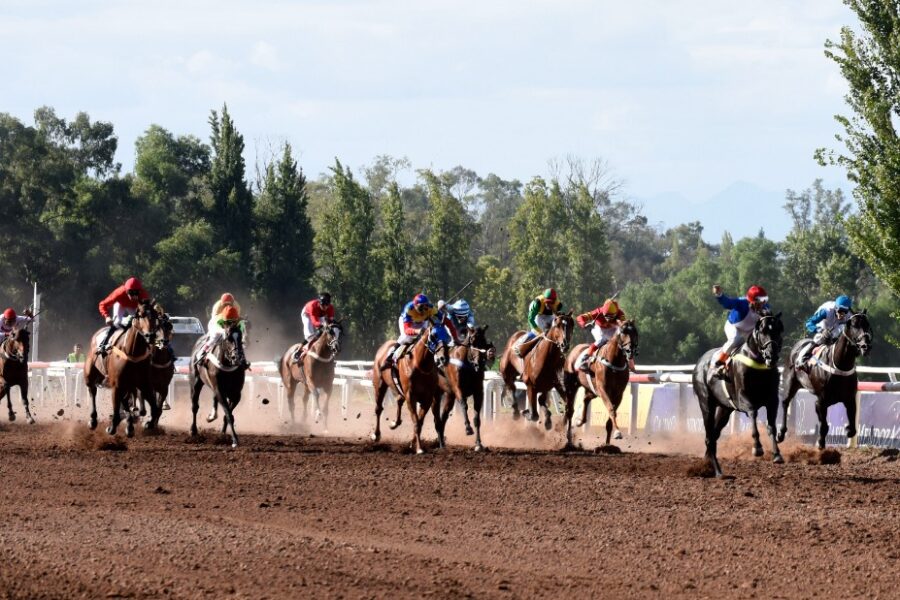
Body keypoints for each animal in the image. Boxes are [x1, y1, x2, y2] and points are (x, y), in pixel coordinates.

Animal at [84, 298, 160, 436]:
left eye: (155, 316)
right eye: (140, 315)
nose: (150, 335)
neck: (132, 352)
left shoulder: (144, 384)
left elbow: (155, 408)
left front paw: (148, 423)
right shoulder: (116, 384)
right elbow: (116, 407)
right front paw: (112, 427)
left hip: (128, 384)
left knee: (125, 400)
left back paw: (129, 425)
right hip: (90, 375)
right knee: (92, 390)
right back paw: (93, 420)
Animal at [370, 324, 446, 454]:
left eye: (447, 335)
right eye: (434, 335)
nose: (442, 358)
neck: (420, 365)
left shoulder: (427, 398)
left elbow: (419, 422)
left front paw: (413, 444)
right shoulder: (411, 396)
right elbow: (416, 422)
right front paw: (419, 448)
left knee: (399, 400)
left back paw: (395, 423)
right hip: (380, 384)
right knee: (378, 409)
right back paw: (376, 435)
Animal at [692, 310, 784, 478]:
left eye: (779, 330)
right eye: (763, 331)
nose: (771, 355)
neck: (757, 364)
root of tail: (700, 362)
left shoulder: (772, 400)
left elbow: (771, 427)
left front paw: (777, 454)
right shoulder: (743, 399)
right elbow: (753, 414)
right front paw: (757, 448)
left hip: (725, 409)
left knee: (714, 436)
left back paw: (709, 465)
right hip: (706, 404)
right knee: (709, 437)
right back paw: (718, 472)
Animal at [780, 310, 872, 450]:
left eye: (867, 324)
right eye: (854, 325)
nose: (865, 346)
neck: (840, 366)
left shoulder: (849, 399)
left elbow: (852, 428)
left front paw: (847, 430)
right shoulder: (821, 401)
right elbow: (823, 426)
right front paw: (820, 445)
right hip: (790, 383)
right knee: (785, 403)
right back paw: (781, 433)